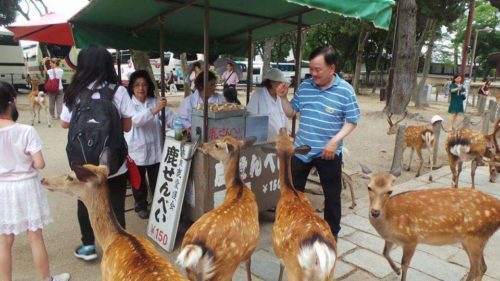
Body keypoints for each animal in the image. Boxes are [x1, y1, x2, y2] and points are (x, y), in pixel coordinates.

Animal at [177, 136, 262, 280]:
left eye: (217, 144)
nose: (202, 145)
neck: (238, 187)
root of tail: (197, 248)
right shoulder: (251, 247)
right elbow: (248, 269)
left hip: (191, 271)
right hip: (225, 269)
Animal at [264, 132, 338, 280]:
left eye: (276, 141)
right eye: (288, 138)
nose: (282, 129)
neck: (290, 191)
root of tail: (319, 251)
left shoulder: (279, 248)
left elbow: (281, 266)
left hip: (295, 269)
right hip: (330, 272)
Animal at [362, 162, 500, 280]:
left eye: (390, 191)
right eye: (369, 187)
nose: (375, 212)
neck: (388, 222)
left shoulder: (411, 239)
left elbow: (405, 264)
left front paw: (399, 271)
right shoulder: (390, 239)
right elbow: (384, 253)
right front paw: (396, 271)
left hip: (476, 237)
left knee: (479, 268)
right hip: (469, 239)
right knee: (480, 267)